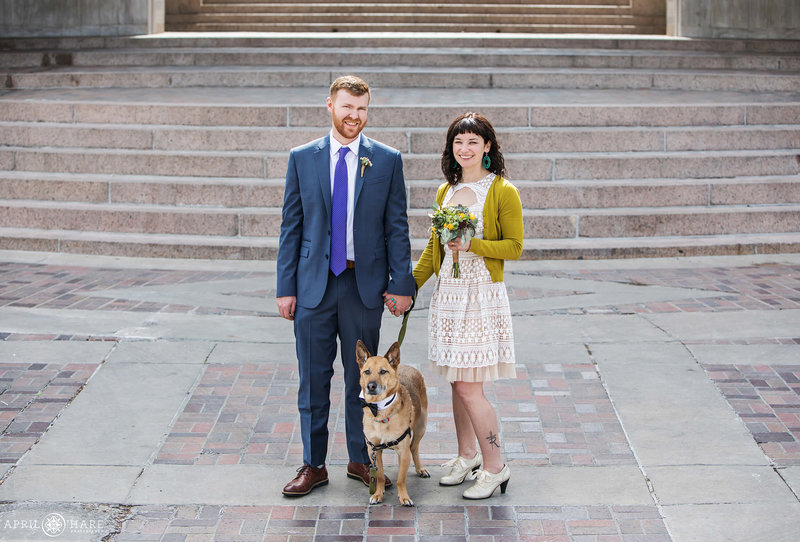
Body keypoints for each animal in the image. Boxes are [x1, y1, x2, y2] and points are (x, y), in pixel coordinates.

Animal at [358, 342, 432, 508]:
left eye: (383, 371)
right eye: (367, 371)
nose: (371, 386)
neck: (379, 409)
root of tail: (407, 366)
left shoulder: (403, 452)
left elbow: (400, 479)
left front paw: (404, 497)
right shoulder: (374, 450)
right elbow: (379, 475)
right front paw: (378, 494)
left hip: (421, 426)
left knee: (414, 448)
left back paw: (420, 469)